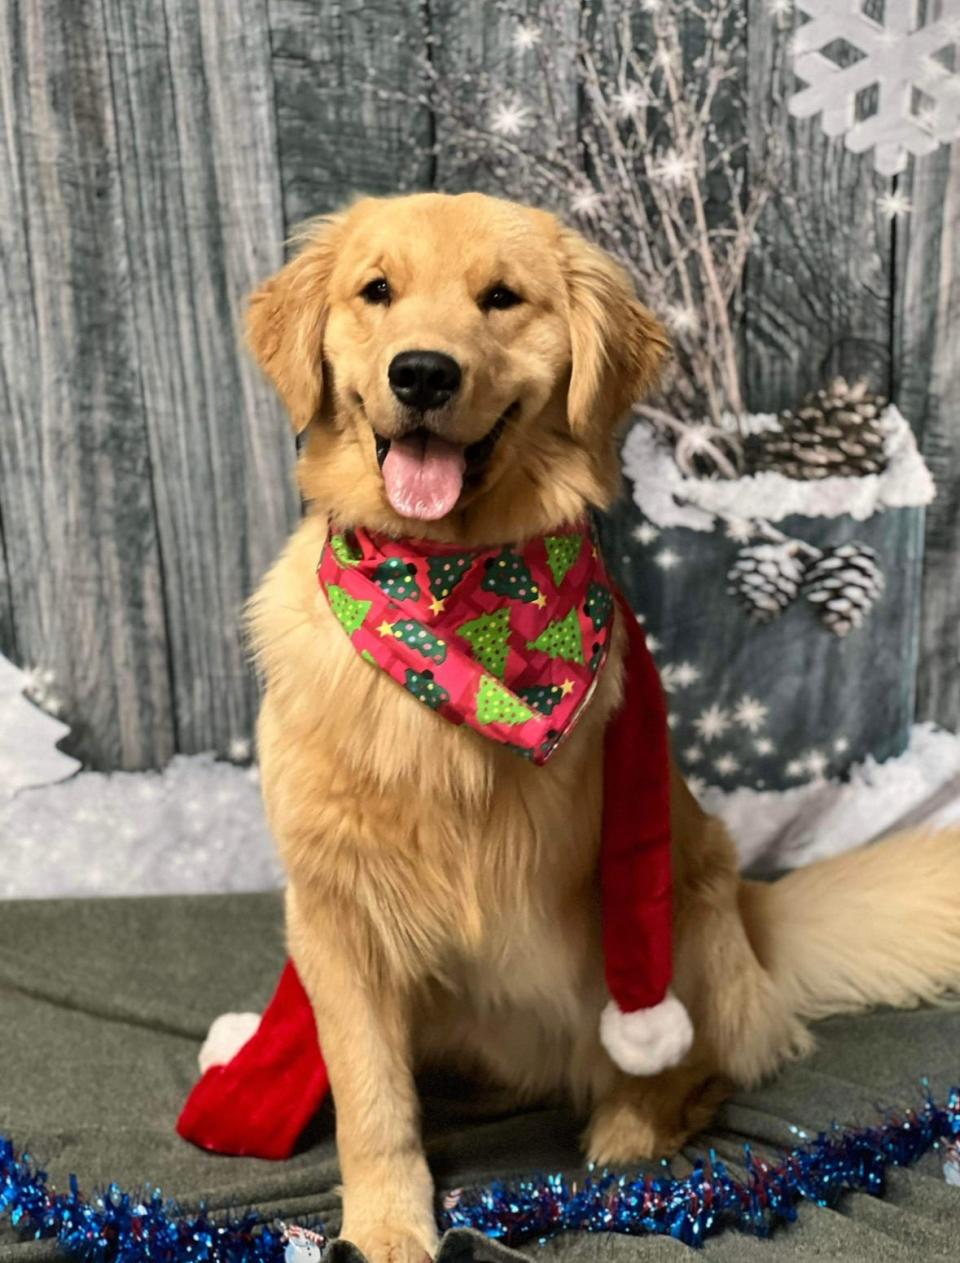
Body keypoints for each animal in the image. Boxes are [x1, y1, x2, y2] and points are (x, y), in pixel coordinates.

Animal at [243, 189, 959, 1263]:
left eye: (501, 298)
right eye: (377, 290)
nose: (423, 372)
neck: (451, 599)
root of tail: (754, 912)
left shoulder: (625, 870)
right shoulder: (336, 911)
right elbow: (372, 1096)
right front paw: (386, 1222)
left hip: (687, 912)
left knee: (696, 1062)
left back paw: (633, 1131)